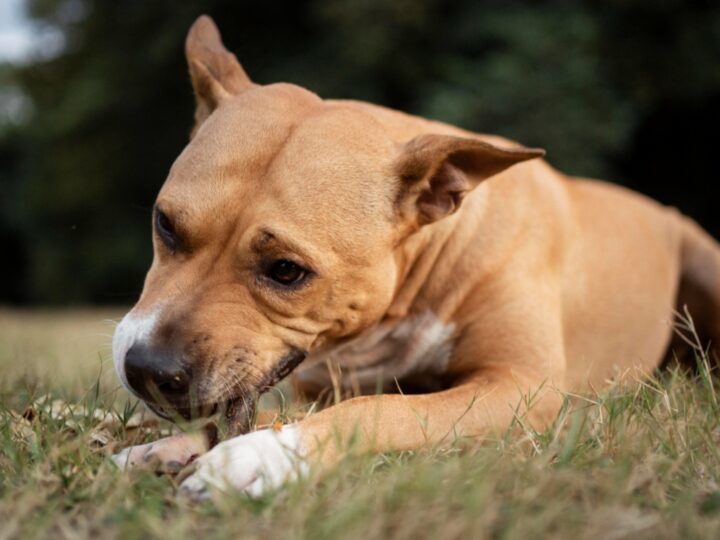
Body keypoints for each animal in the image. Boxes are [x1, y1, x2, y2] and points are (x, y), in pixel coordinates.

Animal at [108, 15, 720, 498]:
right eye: (166, 224)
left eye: (286, 270)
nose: (147, 371)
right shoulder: (322, 384)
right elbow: (267, 411)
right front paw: (168, 447)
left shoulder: (519, 386)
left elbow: (384, 409)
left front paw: (262, 457)